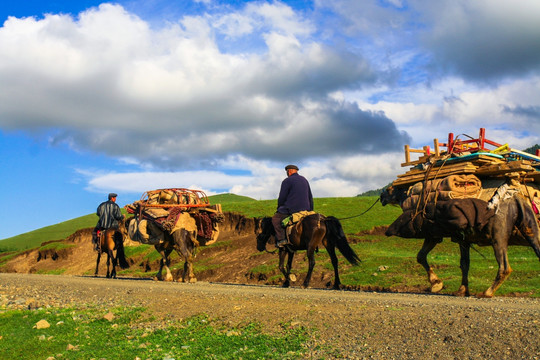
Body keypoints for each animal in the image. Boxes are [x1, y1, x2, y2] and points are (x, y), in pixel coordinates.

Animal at [380, 187, 540, 296]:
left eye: (388, 189)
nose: (381, 197)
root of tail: (515, 198)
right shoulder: (463, 240)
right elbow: (464, 264)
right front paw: (461, 289)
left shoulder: (433, 235)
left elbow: (421, 256)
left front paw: (436, 283)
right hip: (531, 229)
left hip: (498, 238)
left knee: (504, 267)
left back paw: (487, 292)